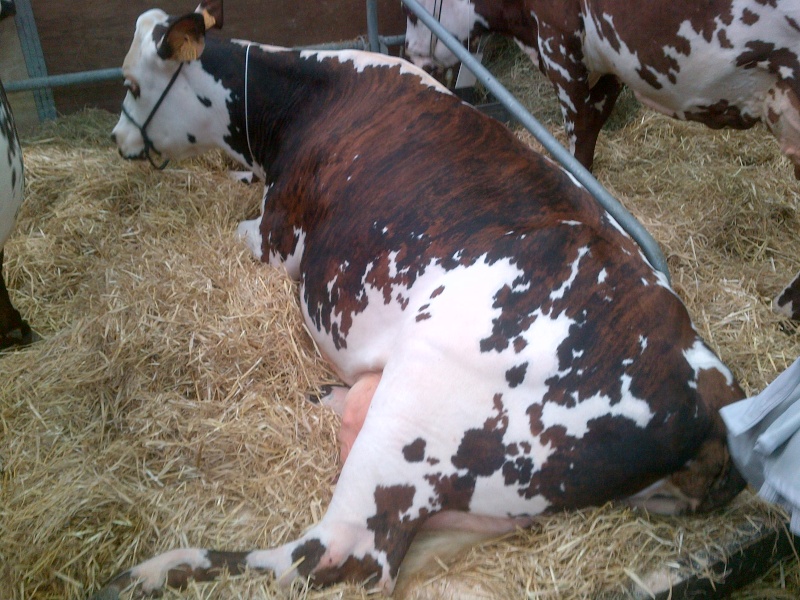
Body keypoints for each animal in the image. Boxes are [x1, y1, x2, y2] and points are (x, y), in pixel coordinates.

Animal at [100, 1, 752, 596]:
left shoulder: (272, 236)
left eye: (131, 84)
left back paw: (157, 569)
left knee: (338, 555)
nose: (118, 138)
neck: (304, 101)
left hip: (412, 410)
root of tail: (709, 399)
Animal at [404, 0, 800, 322]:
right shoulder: (610, 67)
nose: (410, 56)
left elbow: (579, 140)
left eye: (409, 13)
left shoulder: (560, 41)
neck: (523, 29)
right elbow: (594, 126)